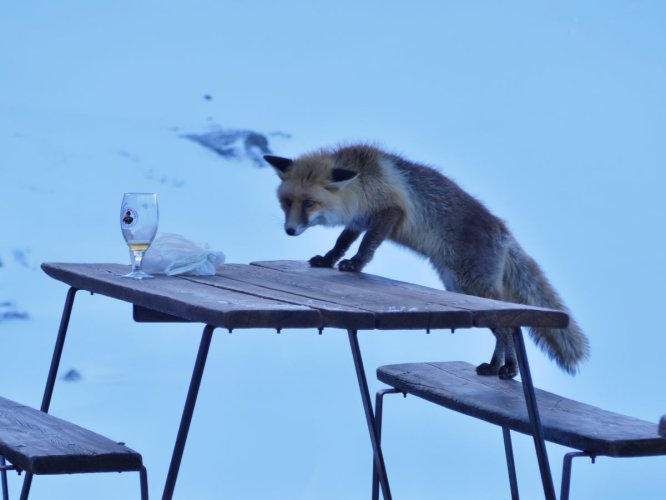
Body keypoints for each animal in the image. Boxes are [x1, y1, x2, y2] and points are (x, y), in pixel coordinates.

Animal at [264, 146, 588, 378]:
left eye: (309, 204)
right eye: (287, 202)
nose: (289, 230)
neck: (363, 180)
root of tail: (503, 231)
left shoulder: (390, 212)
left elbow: (367, 245)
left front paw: (355, 265)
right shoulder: (359, 219)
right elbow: (342, 242)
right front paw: (328, 260)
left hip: (474, 288)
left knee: (508, 330)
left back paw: (505, 369)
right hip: (464, 291)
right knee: (510, 328)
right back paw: (500, 367)